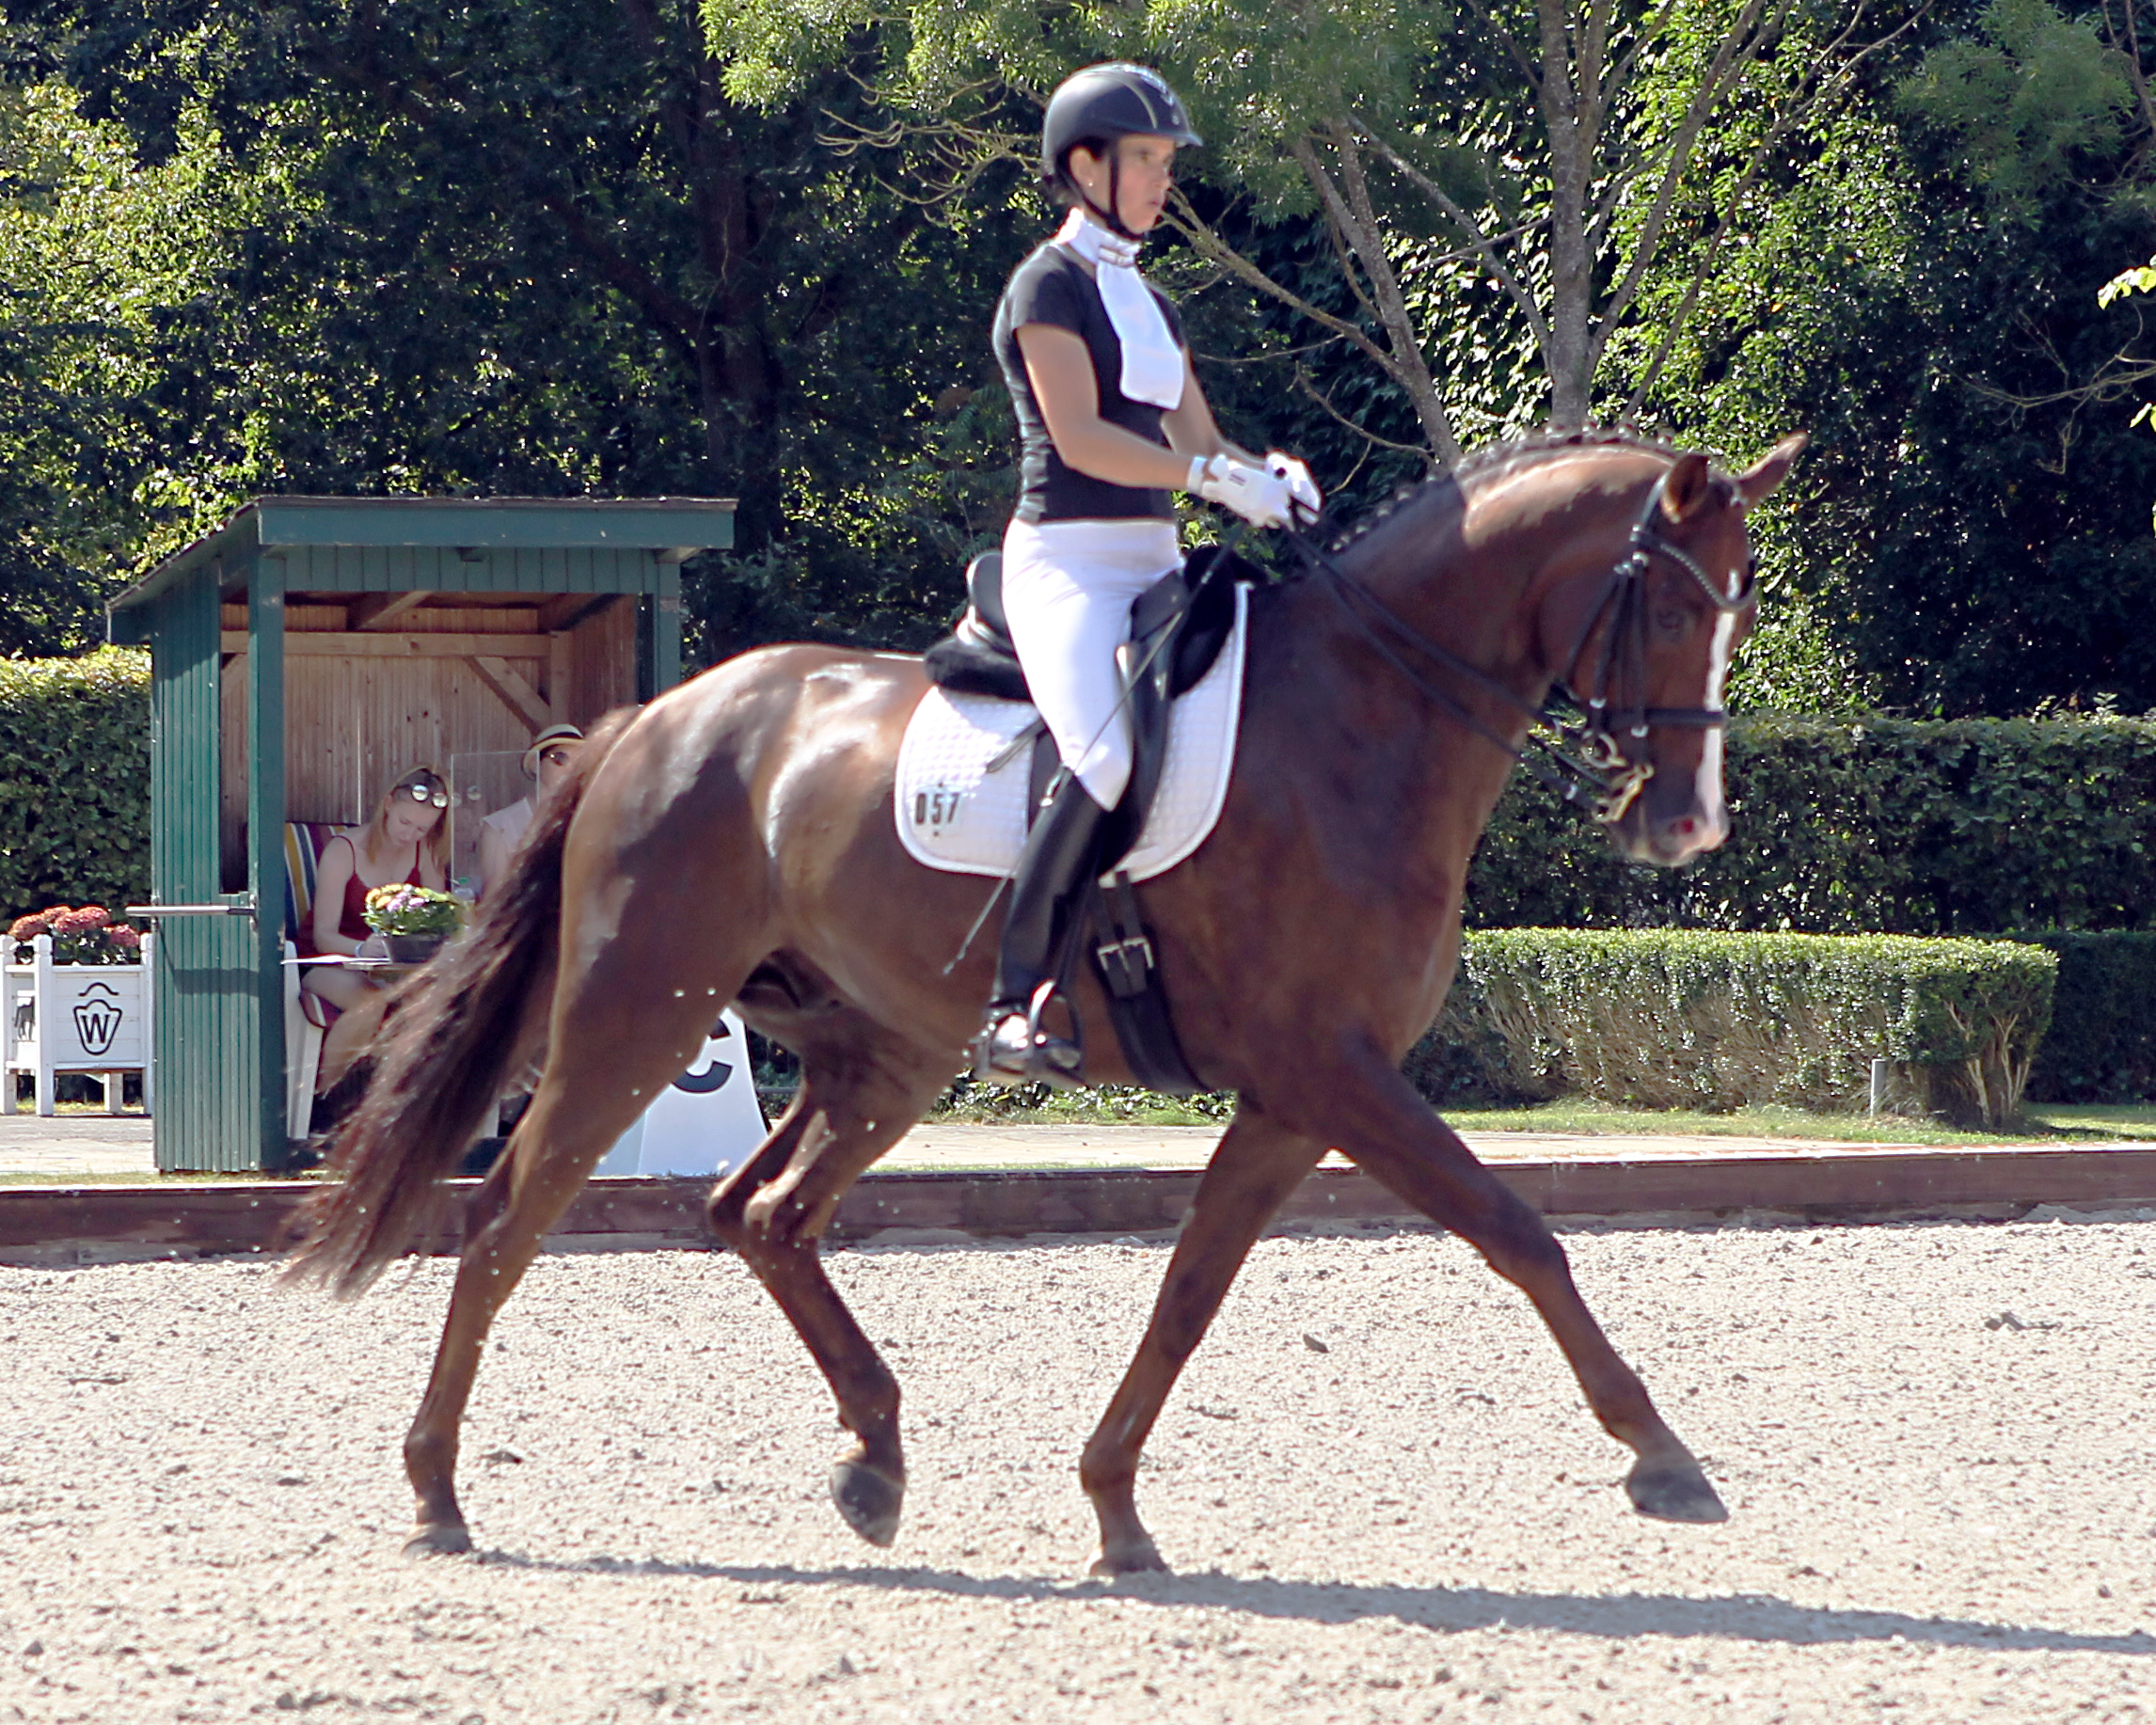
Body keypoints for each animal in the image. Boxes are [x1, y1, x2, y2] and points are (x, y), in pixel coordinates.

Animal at [286, 426, 1802, 1578]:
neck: (1364, 719)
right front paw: (1663, 1455)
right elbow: (1518, 1231)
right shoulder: (1336, 1072)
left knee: (760, 1213)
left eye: (1738, 609)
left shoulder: (1295, 1094)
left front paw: (1115, 1505)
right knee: (506, 1218)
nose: (1688, 823)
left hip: (885, 1050)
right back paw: (436, 1490)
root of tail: (655, 720)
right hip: (638, 1014)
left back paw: (875, 1458)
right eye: (1675, 607)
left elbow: (1188, 1294)